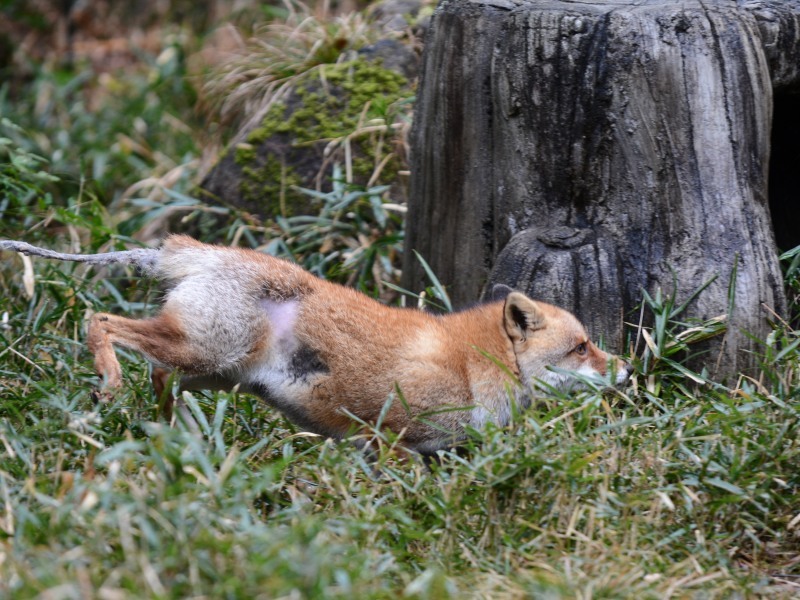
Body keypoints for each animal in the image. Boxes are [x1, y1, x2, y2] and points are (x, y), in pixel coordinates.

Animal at [3, 237, 636, 452]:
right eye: (582, 347)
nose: (629, 370)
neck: (473, 363)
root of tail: (193, 248)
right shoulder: (387, 433)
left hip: (214, 370)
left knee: (159, 375)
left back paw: (165, 436)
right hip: (207, 354)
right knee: (100, 320)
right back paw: (110, 383)